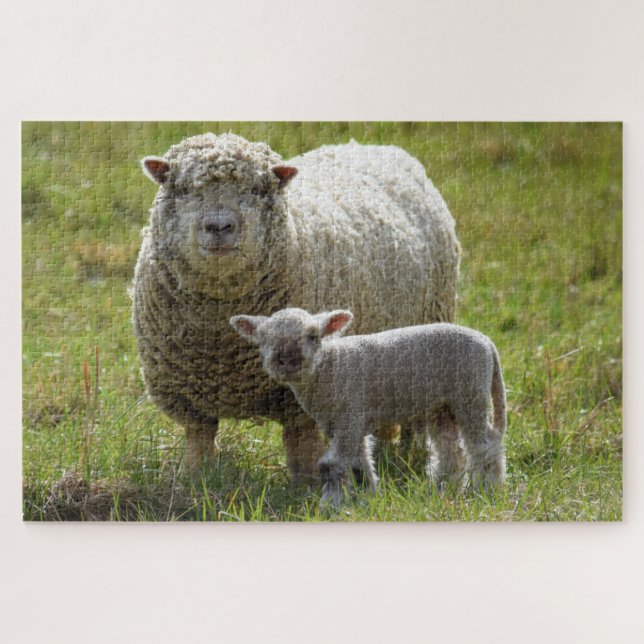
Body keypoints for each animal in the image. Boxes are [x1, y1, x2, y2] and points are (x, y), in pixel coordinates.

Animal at [133, 132, 461, 481]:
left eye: (257, 190)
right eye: (181, 190)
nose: (219, 226)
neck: (223, 334)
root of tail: (372, 146)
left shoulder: (302, 388)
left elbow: (300, 442)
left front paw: (308, 483)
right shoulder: (186, 393)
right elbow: (200, 439)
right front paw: (194, 478)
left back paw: (410, 455)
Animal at [230, 308, 507, 506]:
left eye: (313, 337)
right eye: (264, 339)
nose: (287, 360)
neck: (329, 366)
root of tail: (487, 343)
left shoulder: (350, 414)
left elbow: (332, 465)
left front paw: (331, 505)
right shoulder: (346, 423)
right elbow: (360, 464)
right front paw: (368, 499)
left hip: (470, 395)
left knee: (485, 446)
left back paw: (488, 491)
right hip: (444, 407)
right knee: (452, 452)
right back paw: (444, 489)